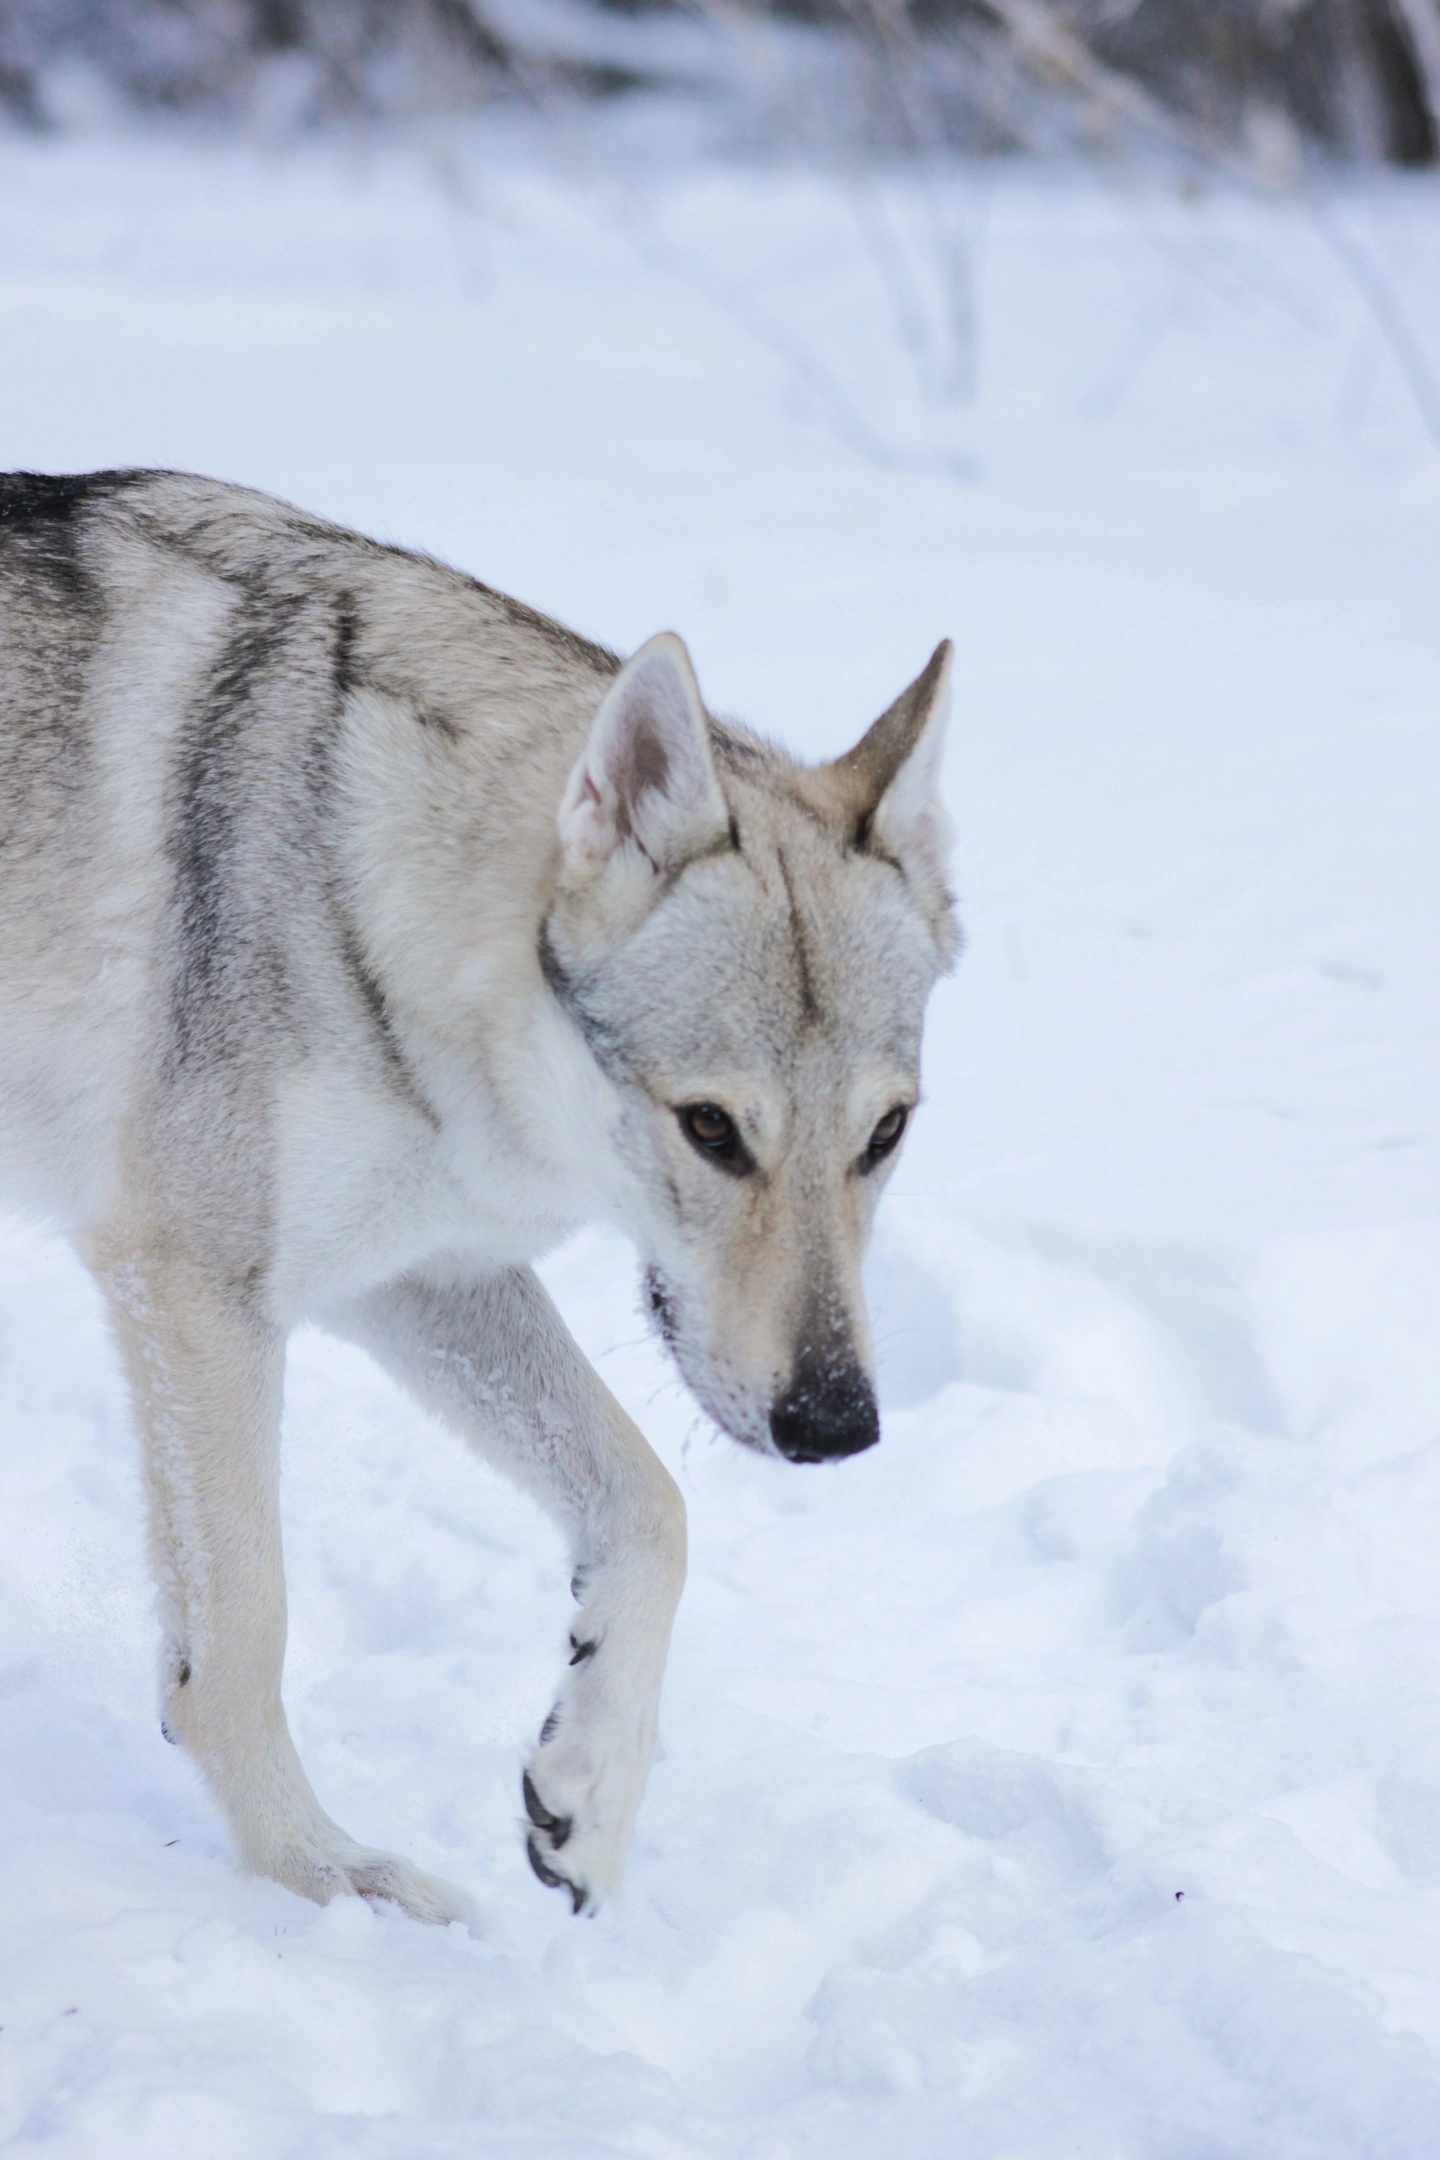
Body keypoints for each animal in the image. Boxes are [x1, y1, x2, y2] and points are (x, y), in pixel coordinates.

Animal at [0, 468, 958, 1909]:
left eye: (886, 1133)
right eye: (712, 1129)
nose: (837, 1427)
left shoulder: (416, 1276)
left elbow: (655, 1506)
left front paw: (590, 1794)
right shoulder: (198, 1288)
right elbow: (243, 1638)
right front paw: (322, 1876)